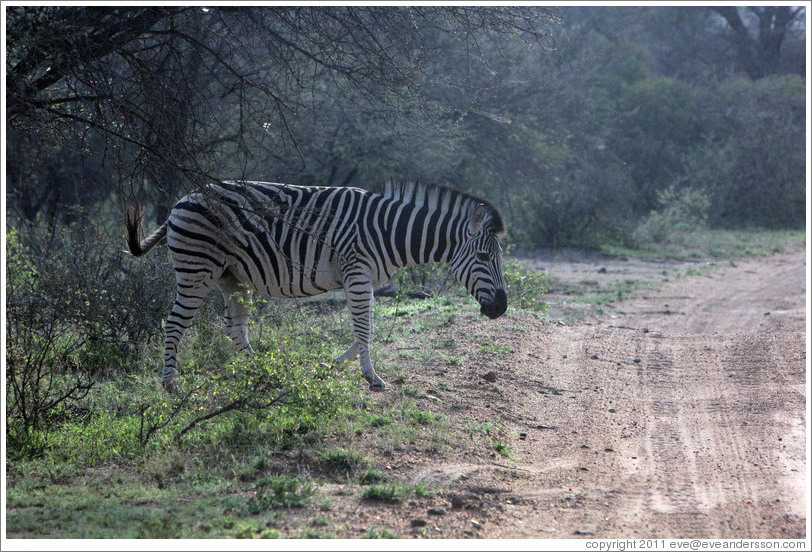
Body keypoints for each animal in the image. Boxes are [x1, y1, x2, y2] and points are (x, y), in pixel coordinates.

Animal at [125, 180, 508, 391]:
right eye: (485, 257)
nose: (502, 308)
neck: (388, 231)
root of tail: (182, 200)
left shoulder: (364, 279)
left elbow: (366, 328)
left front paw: (332, 365)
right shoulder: (356, 272)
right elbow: (364, 328)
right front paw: (372, 377)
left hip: (232, 276)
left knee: (236, 328)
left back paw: (261, 372)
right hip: (197, 269)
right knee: (174, 324)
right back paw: (171, 384)